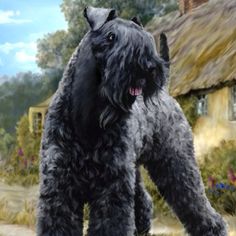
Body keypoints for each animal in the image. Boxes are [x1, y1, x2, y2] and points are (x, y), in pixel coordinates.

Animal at [37, 6, 227, 235]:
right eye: (111, 36)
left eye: (145, 38)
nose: (149, 66)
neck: (87, 119)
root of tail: (165, 92)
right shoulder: (59, 186)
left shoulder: (111, 188)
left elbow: (112, 224)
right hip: (135, 170)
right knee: (143, 201)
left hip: (176, 163)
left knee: (195, 202)